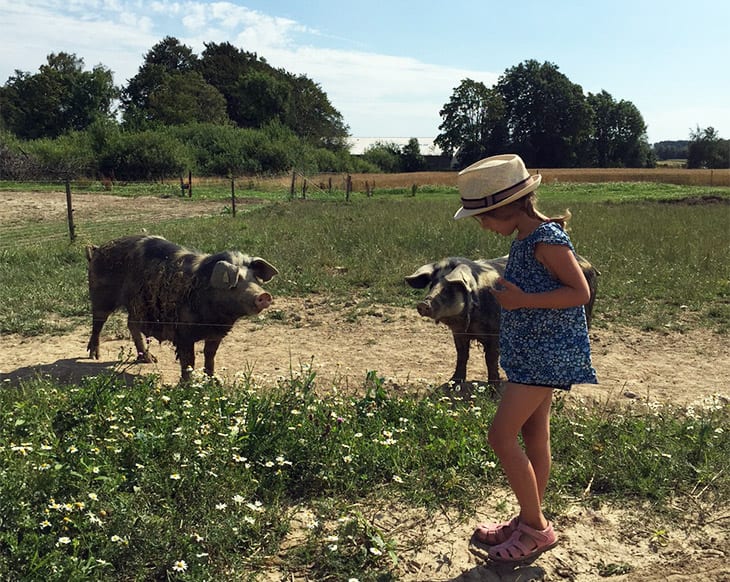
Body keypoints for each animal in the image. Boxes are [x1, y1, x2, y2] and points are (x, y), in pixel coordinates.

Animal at [87, 235, 276, 380]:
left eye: (255, 279)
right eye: (235, 283)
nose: (263, 295)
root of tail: (97, 249)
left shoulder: (217, 333)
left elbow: (210, 356)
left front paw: (214, 382)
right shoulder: (183, 333)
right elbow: (188, 360)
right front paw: (187, 386)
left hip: (136, 306)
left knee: (131, 324)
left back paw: (150, 359)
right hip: (101, 296)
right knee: (98, 322)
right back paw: (94, 356)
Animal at [406, 256, 596, 386]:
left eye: (450, 288)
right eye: (432, 285)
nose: (423, 304)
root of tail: (586, 262)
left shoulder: (495, 332)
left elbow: (491, 359)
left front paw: (493, 390)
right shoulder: (459, 333)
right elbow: (462, 355)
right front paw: (453, 383)